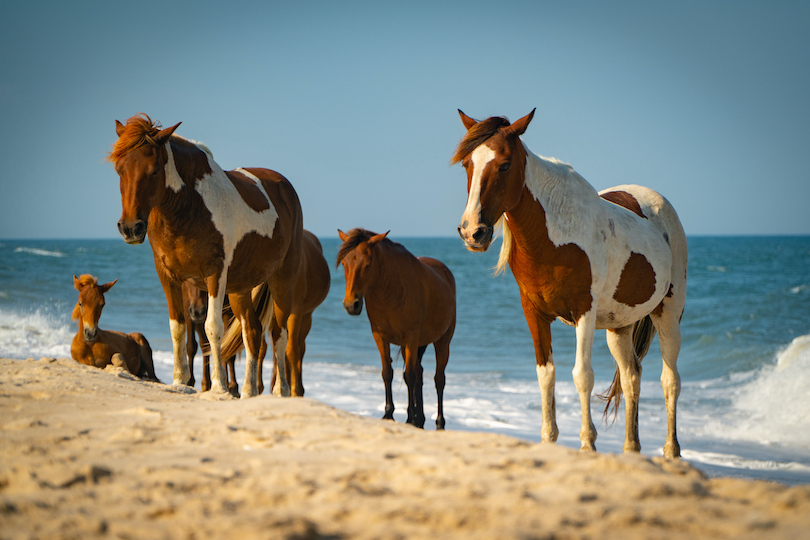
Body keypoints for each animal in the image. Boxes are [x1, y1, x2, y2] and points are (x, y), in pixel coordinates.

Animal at [109, 113, 304, 396]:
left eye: (153, 170)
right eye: (119, 170)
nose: (130, 228)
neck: (189, 207)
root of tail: (284, 186)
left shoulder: (215, 274)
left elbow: (213, 329)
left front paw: (219, 386)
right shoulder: (168, 276)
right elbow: (178, 327)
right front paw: (180, 380)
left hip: (282, 281)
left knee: (279, 333)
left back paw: (280, 391)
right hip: (240, 288)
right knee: (253, 331)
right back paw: (248, 391)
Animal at [334, 229, 454, 430]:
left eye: (368, 264)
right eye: (344, 263)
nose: (351, 305)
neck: (390, 291)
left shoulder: (410, 338)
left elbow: (410, 376)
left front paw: (409, 417)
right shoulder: (381, 337)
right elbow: (388, 373)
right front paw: (389, 414)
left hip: (441, 342)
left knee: (438, 380)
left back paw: (439, 422)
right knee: (419, 374)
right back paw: (419, 419)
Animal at [452, 110, 684, 460]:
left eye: (504, 165)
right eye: (467, 164)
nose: (472, 232)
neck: (555, 236)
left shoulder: (583, 312)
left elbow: (582, 375)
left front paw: (587, 443)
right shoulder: (533, 313)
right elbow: (545, 374)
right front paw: (549, 439)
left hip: (668, 312)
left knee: (670, 379)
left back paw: (671, 450)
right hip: (620, 326)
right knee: (632, 376)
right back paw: (631, 448)